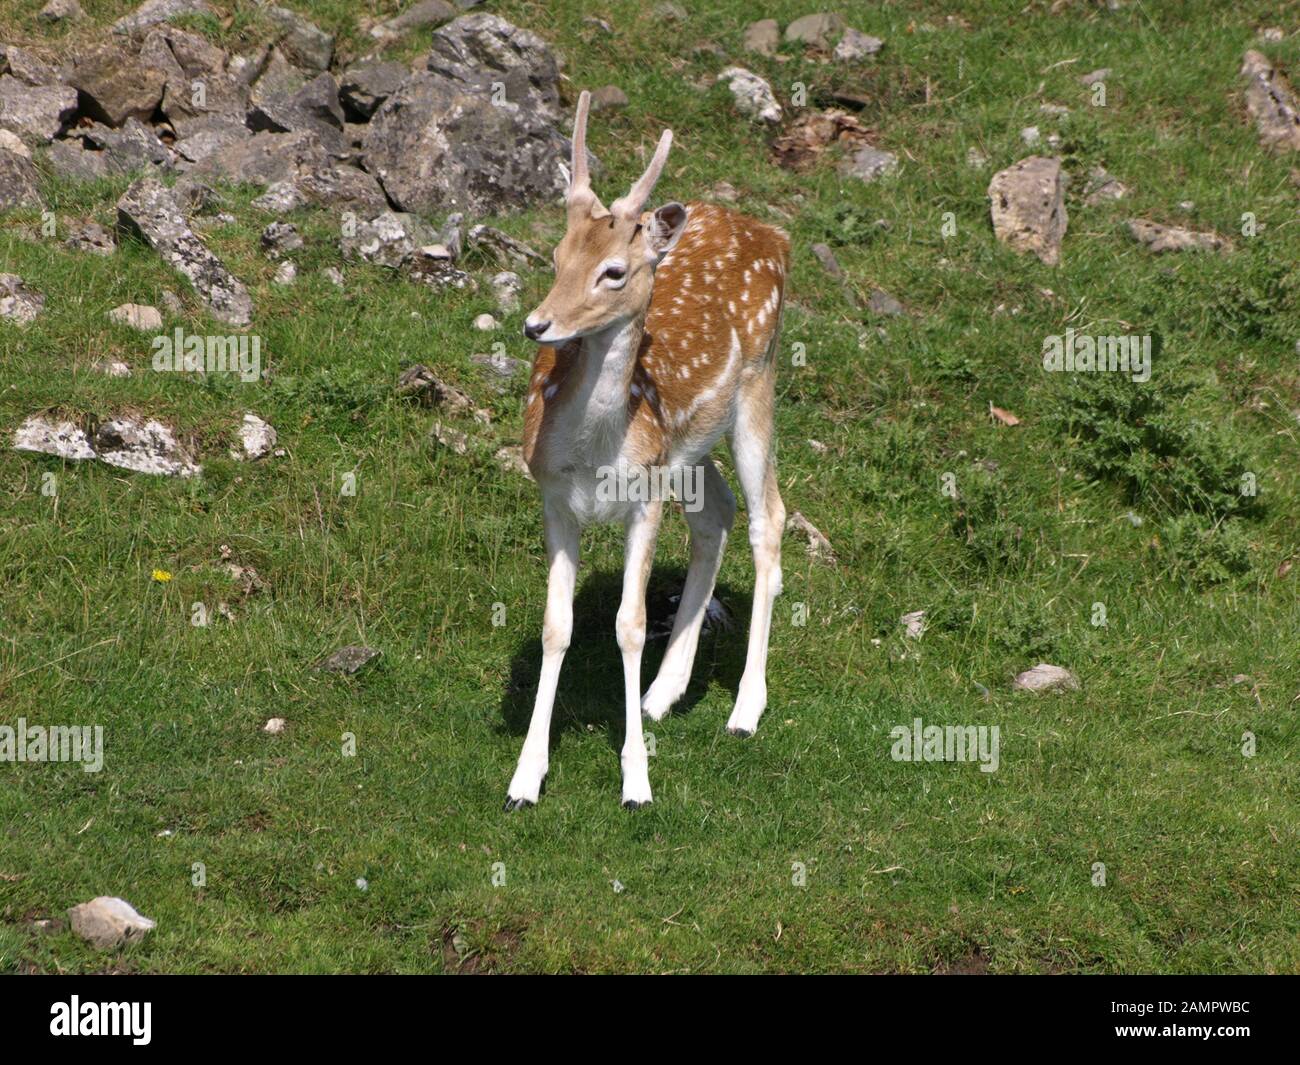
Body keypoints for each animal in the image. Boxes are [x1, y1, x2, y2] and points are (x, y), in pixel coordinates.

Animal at [504, 91, 790, 811]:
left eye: (613, 271)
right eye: (557, 257)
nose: (537, 324)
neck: (595, 455)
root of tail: (774, 235)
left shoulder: (644, 501)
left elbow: (629, 624)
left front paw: (636, 781)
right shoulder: (555, 499)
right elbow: (557, 626)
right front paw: (525, 777)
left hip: (758, 384)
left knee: (768, 517)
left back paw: (744, 709)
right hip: (687, 449)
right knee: (716, 513)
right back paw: (665, 691)